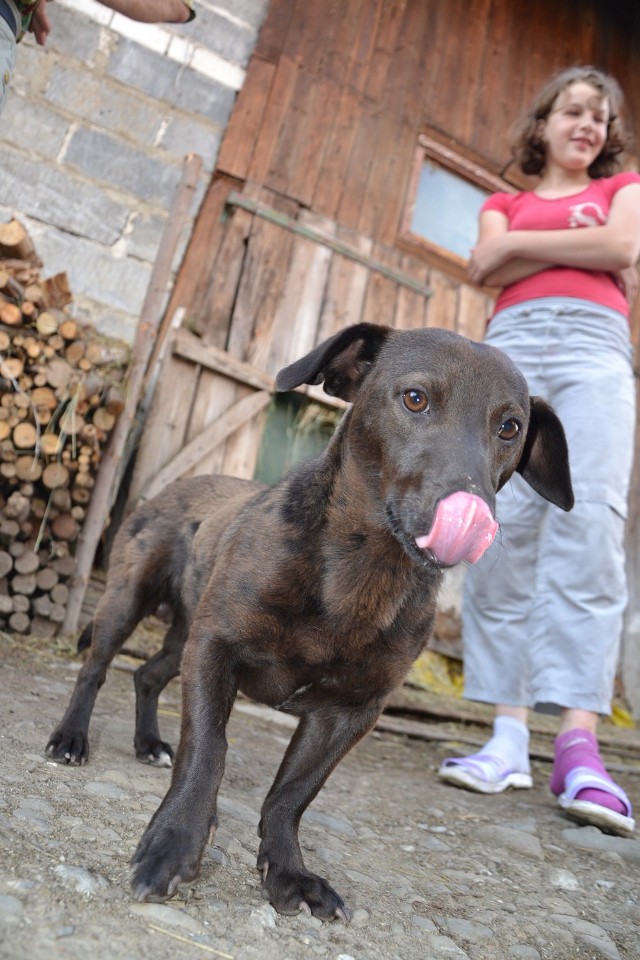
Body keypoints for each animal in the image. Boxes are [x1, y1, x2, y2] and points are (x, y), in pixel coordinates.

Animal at [47, 324, 572, 924]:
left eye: (510, 427)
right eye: (415, 399)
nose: (471, 508)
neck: (358, 573)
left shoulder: (348, 712)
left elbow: (293, 794)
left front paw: (288, 871)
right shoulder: (216, 651)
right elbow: (207, 751)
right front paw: (174, 845)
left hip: (183, 635)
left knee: (147, 675)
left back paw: (149, 742)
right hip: (128, 603)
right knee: (96, 669)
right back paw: (71, 738)